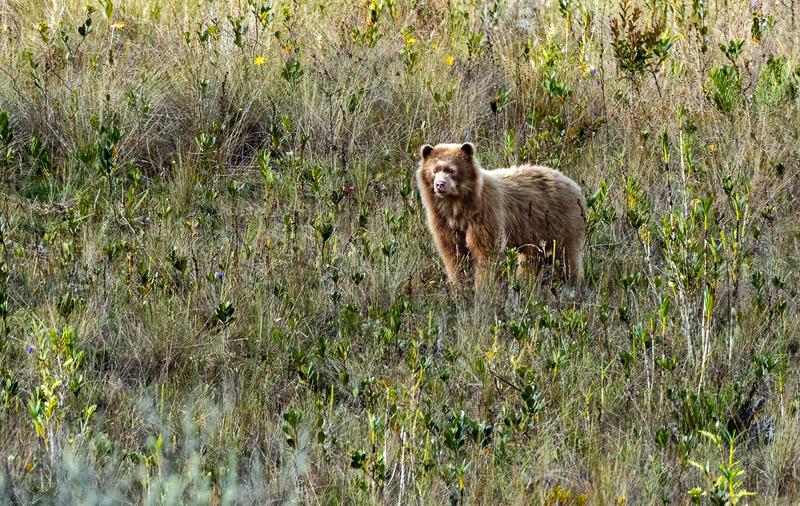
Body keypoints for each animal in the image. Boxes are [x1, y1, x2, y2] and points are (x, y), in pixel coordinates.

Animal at [416, 142, 584, 292]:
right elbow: (454, 253)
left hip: (561, 222)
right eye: (435, 170)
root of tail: (573, 183)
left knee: (566, 257)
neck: (457, 206)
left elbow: (486, 252)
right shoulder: (443, 221)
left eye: (451, 170)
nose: (440, 184)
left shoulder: (485, 213)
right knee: (531, 260)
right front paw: (461, 286)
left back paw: (572, 284)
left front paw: (483, 287)